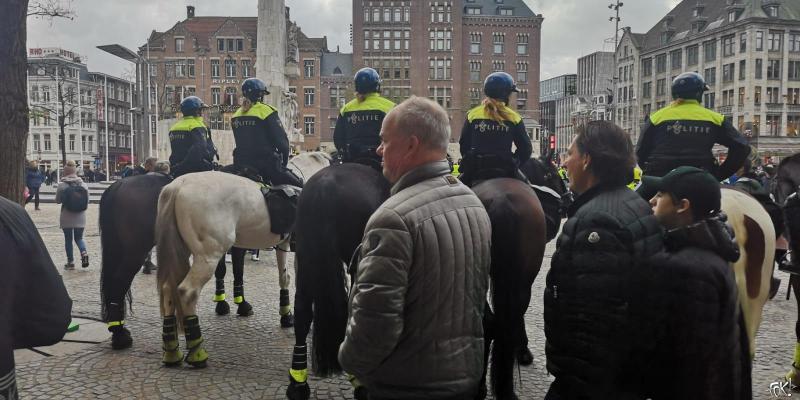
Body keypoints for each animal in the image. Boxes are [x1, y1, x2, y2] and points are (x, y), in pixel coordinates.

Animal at [101, 152, 332, 350]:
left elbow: (245, 272)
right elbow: (277, 276)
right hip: (141, 250)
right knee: (123, 282)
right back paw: (122, 335)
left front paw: (234, 304)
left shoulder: (257, 244)